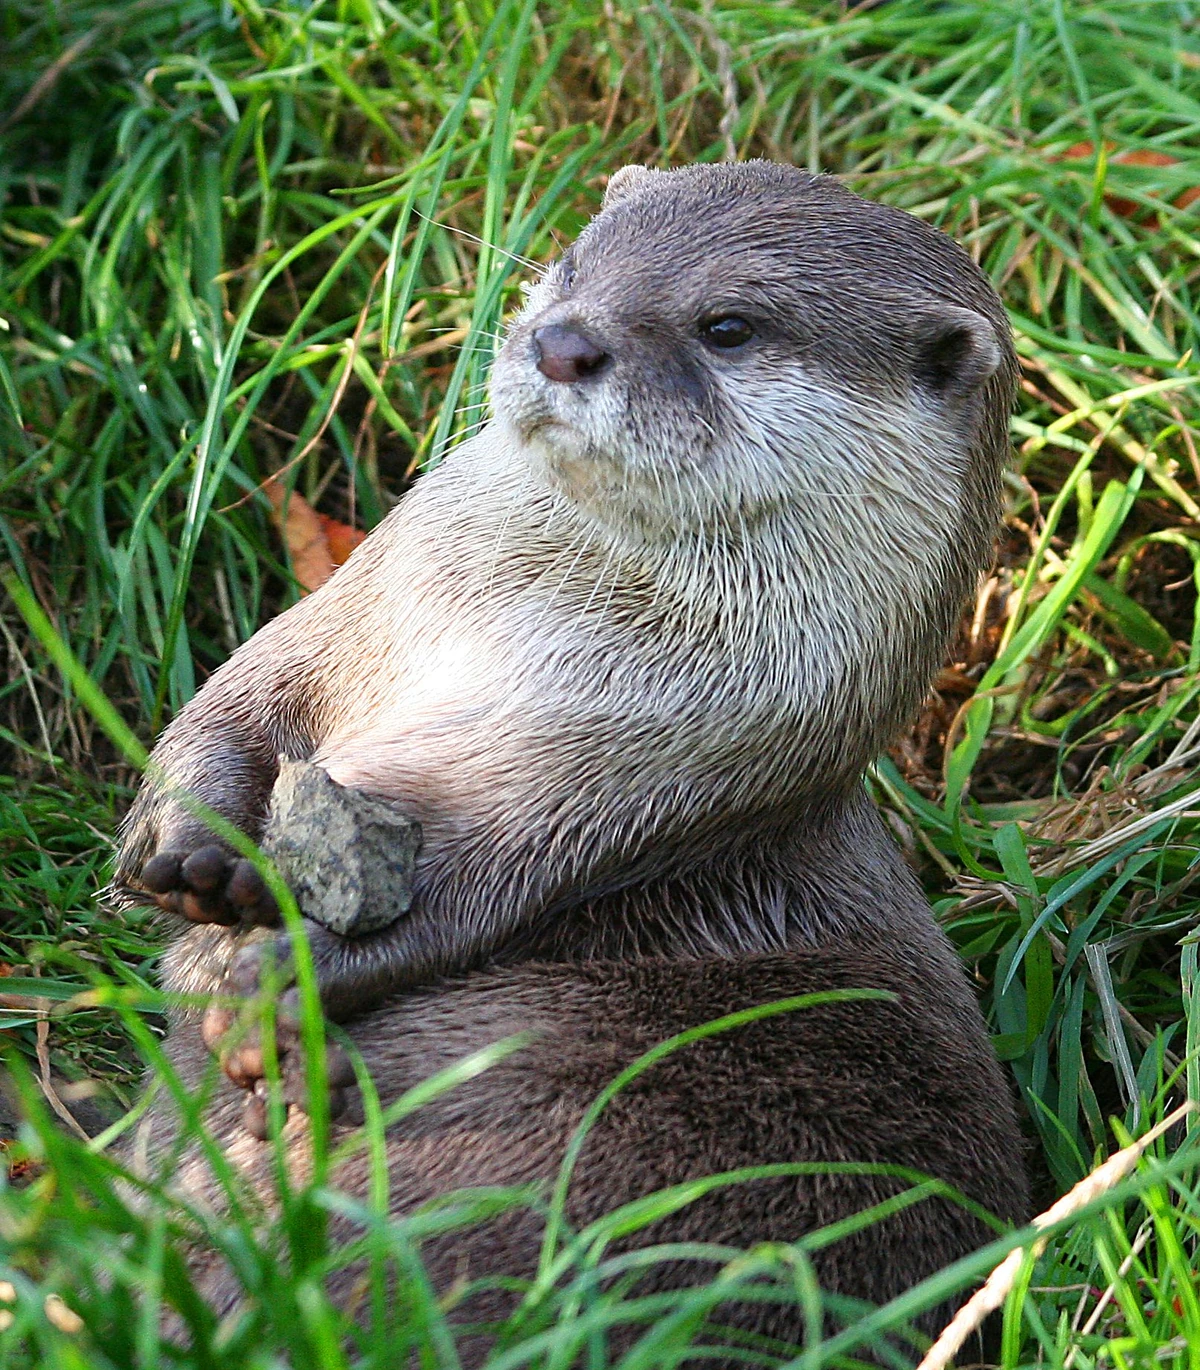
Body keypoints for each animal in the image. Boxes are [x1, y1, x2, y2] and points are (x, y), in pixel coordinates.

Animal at [114, 161, 1027, 1351]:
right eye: (575, 263)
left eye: (727, 326)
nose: (563, 341)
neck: (502, 631)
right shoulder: (353, 619)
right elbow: (241, 699)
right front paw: (188, 841)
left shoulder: (626, 769)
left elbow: (464, 891)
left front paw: (270, 985)